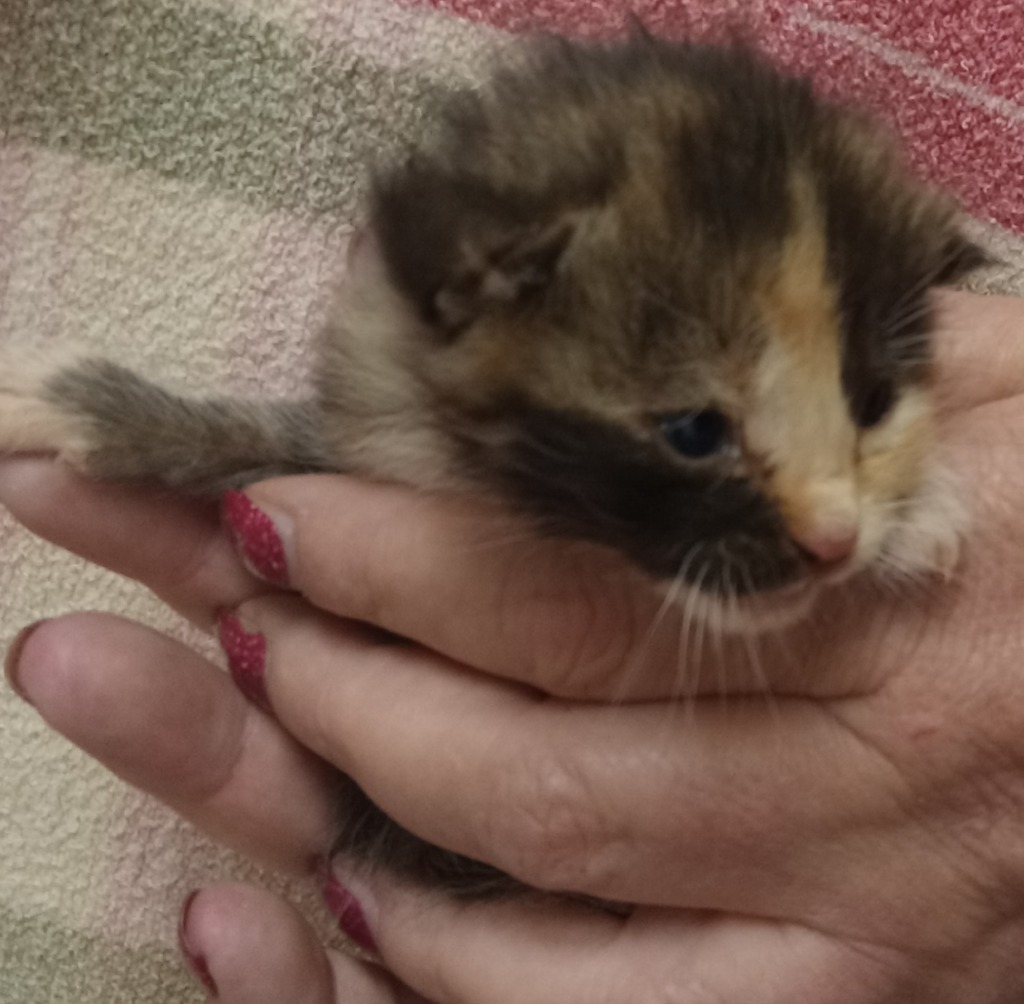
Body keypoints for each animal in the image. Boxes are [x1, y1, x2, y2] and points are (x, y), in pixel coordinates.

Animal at [0, 31, 983, 893]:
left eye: (872, 402)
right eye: (696, 431)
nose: (834, 541)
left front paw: (918, 516)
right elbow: (257, 445)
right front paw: (82, 401)